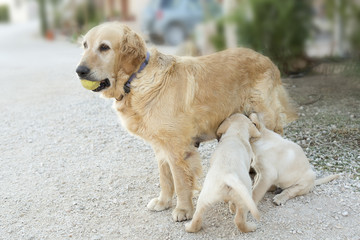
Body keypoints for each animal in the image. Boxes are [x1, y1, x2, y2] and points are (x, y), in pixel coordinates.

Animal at [76, 22, 298, 221]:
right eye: (85, 45)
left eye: (104, 47)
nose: (80, 70)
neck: (136, 80)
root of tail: (268, 60)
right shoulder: (160, 146)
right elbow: (165, 179)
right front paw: (163, 202)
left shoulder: (177, 149)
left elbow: (181, 182)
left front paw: (183, 210)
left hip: (264, 116)